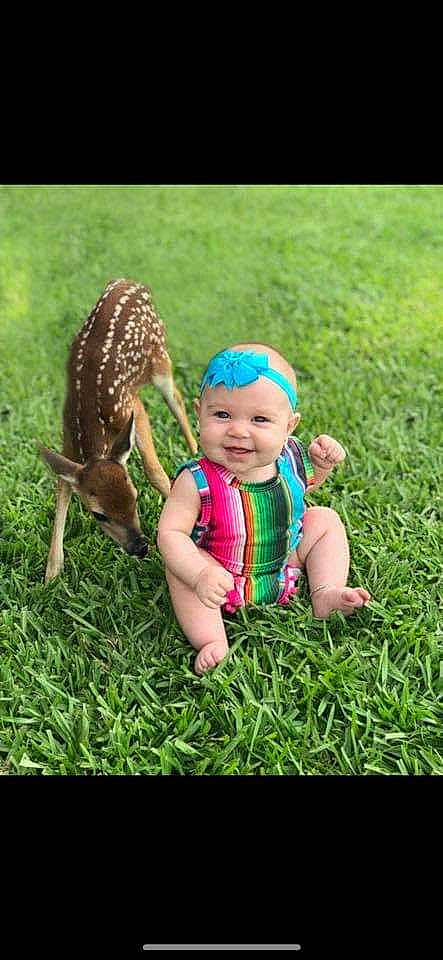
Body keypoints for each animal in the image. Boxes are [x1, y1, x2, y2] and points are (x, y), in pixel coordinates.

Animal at [40, 278, 198, 583]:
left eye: (135, 496)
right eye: (99, 515)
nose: (140, 547)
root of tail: (129, 281)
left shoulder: (132, 406)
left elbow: (152, 469)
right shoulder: (68, 445)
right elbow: (62, 489)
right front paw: (51, 574)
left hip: (160, 358)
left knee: (178, 398)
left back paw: (197, 450)